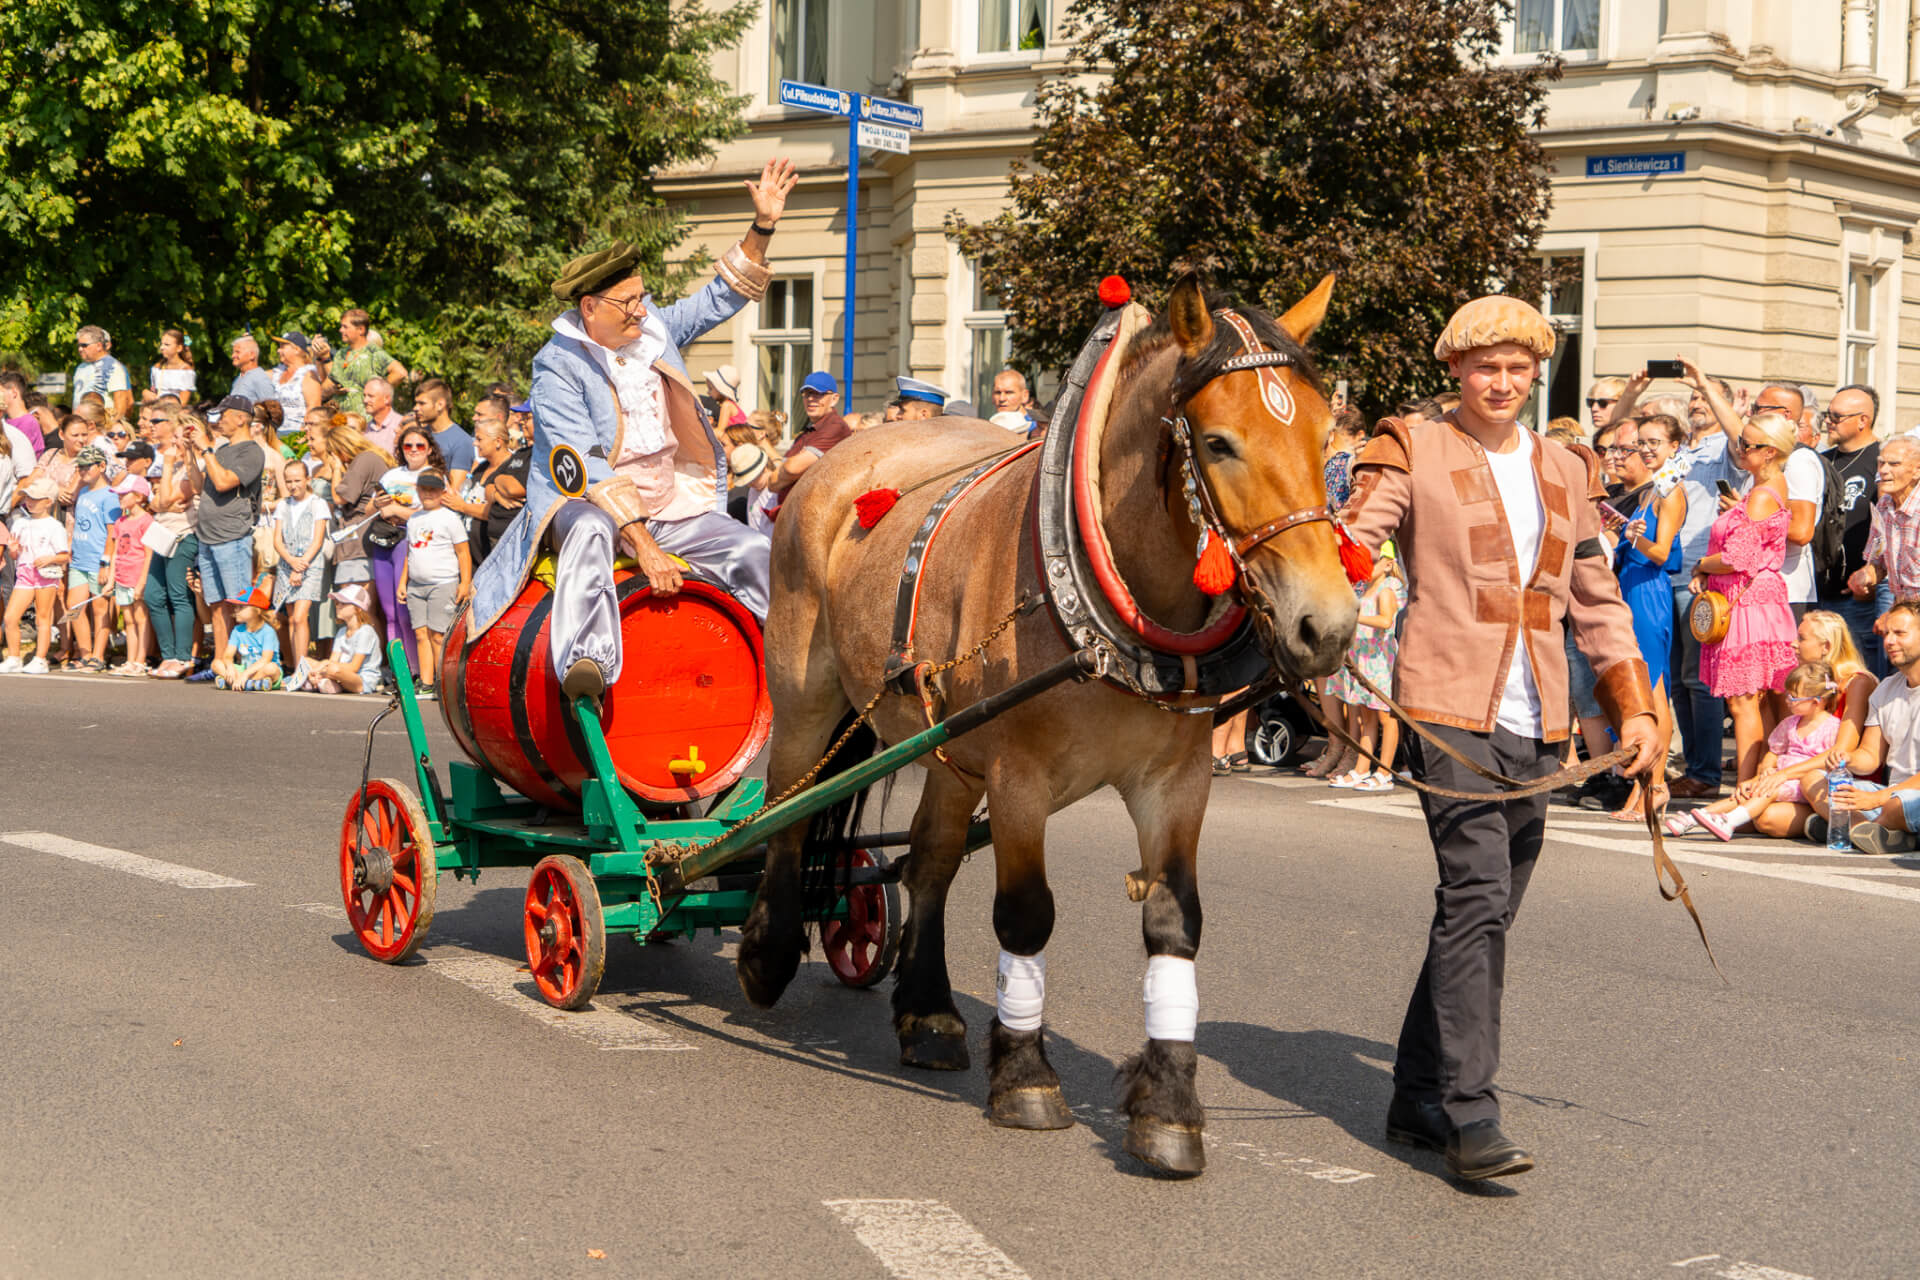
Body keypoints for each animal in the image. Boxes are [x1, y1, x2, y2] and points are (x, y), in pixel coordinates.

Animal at [729, 276, 1351, 1174]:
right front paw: (1025, 1075)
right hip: (805, 687)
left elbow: (1175, 921)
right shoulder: (1019, 776)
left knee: (928, 861)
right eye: (1220, 443)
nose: (1328, 626)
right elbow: (1026, 913)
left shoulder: (1177, 780)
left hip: (949, 747)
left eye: (1325, 436)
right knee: (787, 809)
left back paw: (928, 1010)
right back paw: (767, 952)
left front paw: (1168, 1106)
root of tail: (847, 448)